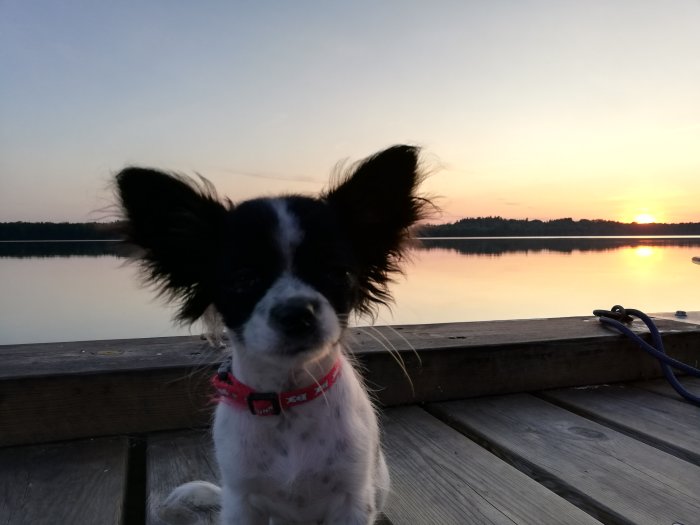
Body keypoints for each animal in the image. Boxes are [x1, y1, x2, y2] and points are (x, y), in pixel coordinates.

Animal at [116, 144, 426, 524]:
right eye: (244, 279)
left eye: (337, 273)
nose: (297, 313)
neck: (287, 402)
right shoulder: (241, 502)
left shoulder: (353, 501)